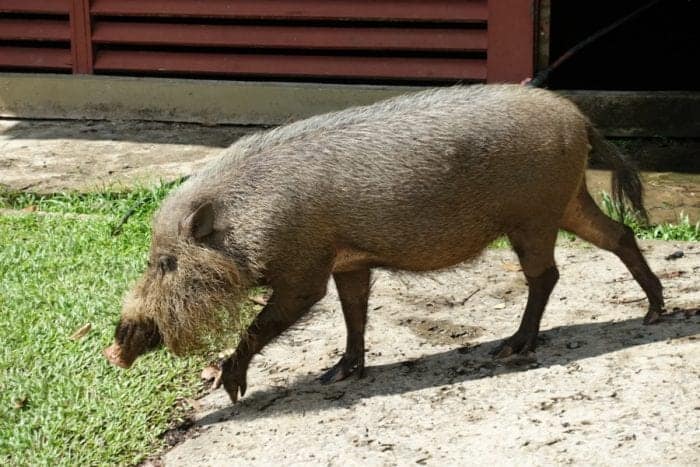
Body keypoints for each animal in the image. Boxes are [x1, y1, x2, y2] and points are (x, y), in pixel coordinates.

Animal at [104, 84, 664, 403]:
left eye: (166, 262)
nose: (115, 349)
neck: (250, 218)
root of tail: (579, 118)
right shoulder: (349, 262)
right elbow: (354, 312)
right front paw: (338, 376)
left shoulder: (305, 269)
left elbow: (271, 320)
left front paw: (232, 388)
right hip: (565, 202)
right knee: (620, 235)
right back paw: (654, 313)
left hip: (533, 217)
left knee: (546, 274)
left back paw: (512, 347)